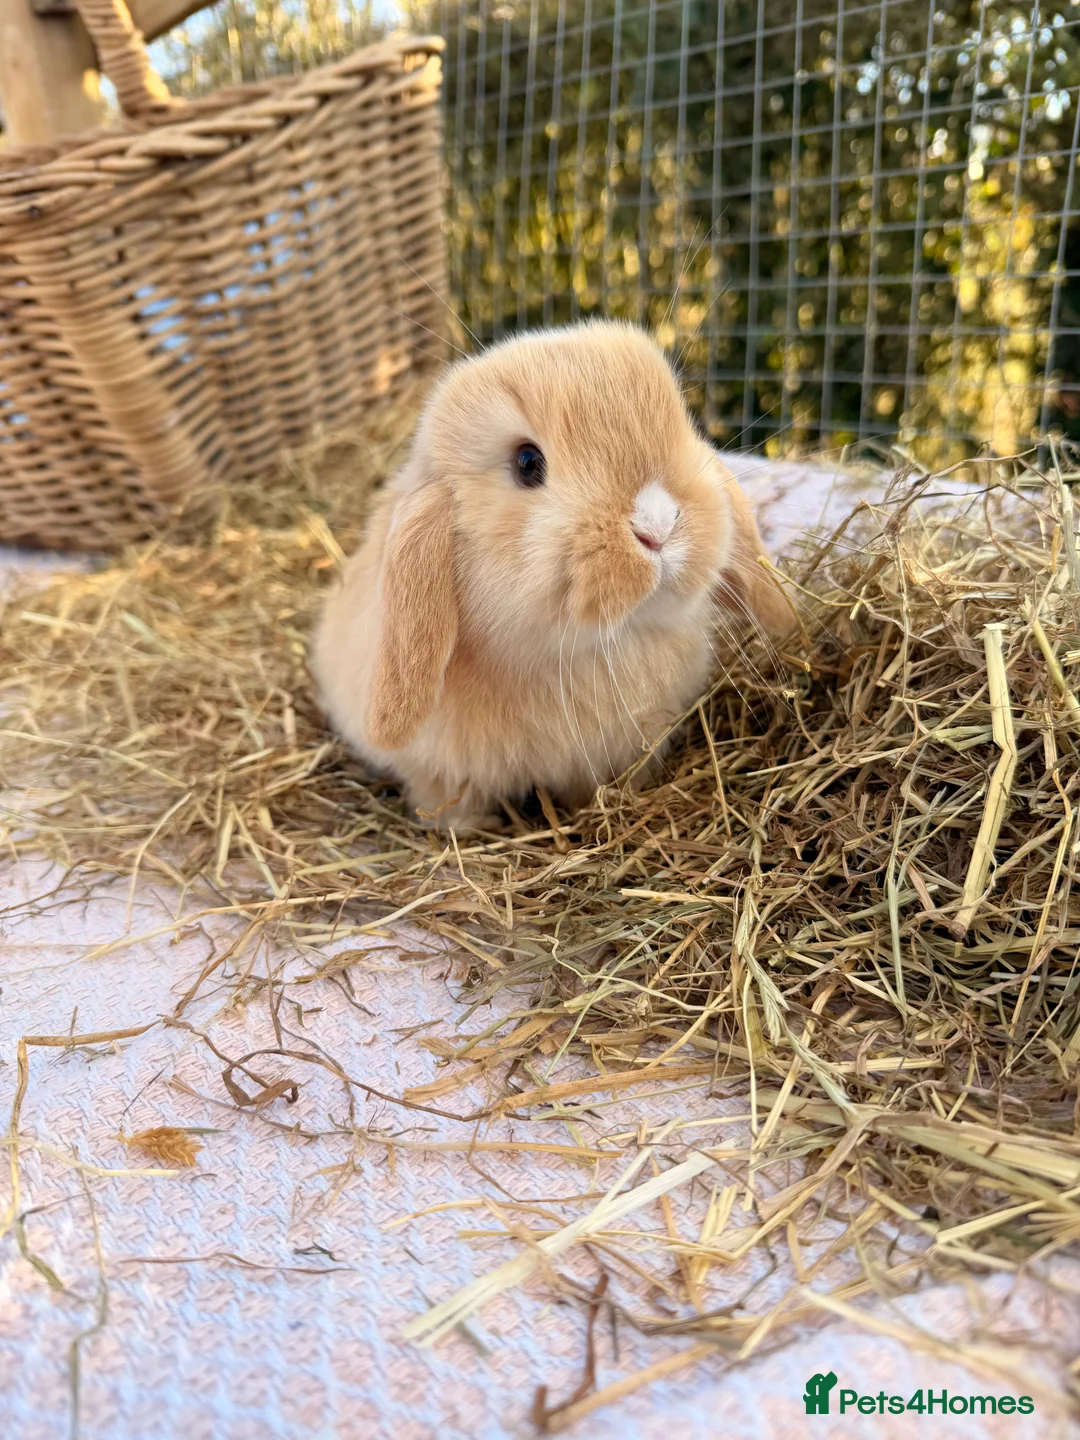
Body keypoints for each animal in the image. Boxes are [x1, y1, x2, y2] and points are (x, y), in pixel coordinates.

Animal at [312, 320, 792, 832]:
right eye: (527, 463)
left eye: (681, 429)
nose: (658, 525)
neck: (591, 653)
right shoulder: (439, 775)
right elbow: (450, 803)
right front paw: (468, 831)